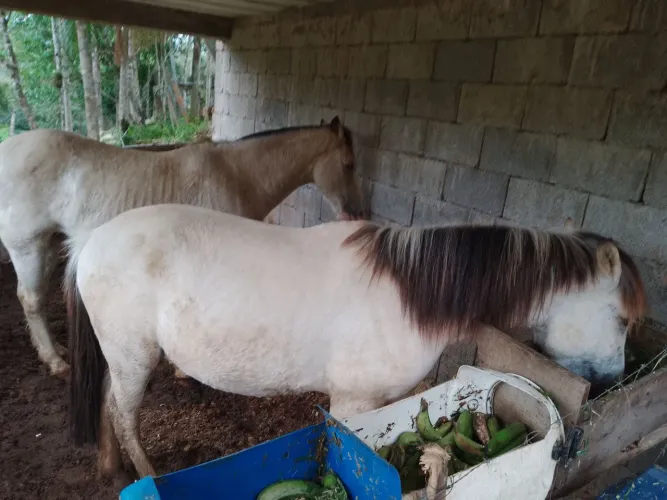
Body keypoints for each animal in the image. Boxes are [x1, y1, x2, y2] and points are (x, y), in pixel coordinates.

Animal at [0, 116, 364, 379]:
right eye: (348, 164)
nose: (354, 212)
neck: (237, 175)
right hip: (27, 247)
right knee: (31, 299)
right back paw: (56, 362)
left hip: (47, 245)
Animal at [65, 203, 647, 479]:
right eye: (621, 318)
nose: (613, 380)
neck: (407, 293)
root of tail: (91, 239)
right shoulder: (350, 403)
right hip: (136, 357)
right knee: (124, 413)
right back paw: (145, 475)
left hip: (122, 357)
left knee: (108, 403)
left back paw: (113, 467)